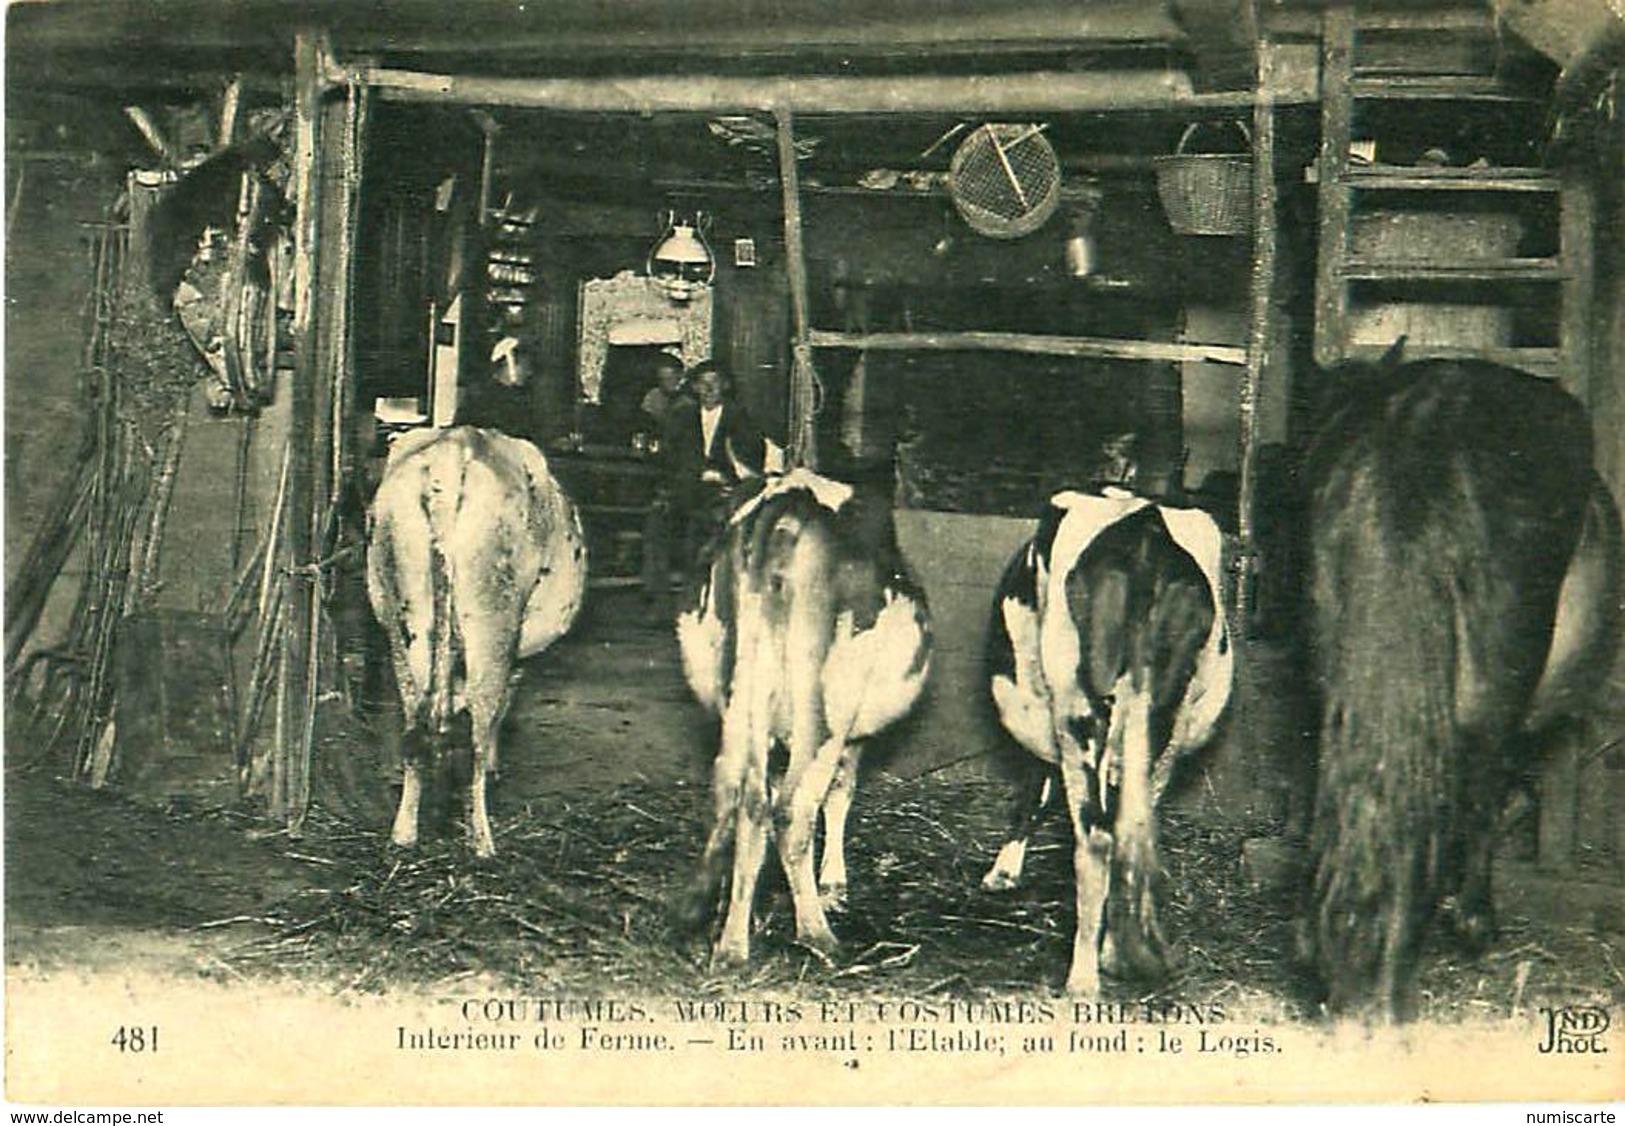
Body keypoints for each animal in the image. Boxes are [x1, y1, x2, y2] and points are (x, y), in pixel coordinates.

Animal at [365, 425, 588, 857]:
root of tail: (454, 450)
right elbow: (502, 708)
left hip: (404, 622)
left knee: (416, 727)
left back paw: (404, 833)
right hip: (492, 624)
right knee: (478, 731)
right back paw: (482, 842)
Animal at [672, 464, 929, 968]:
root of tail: (786, 500)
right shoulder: (853, 735)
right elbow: (840, 794)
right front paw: (833, 883)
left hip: (740, 690)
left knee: (740, 796)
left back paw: (726, 938)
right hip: (826, 707)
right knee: (791, 810)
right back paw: (817, 933)